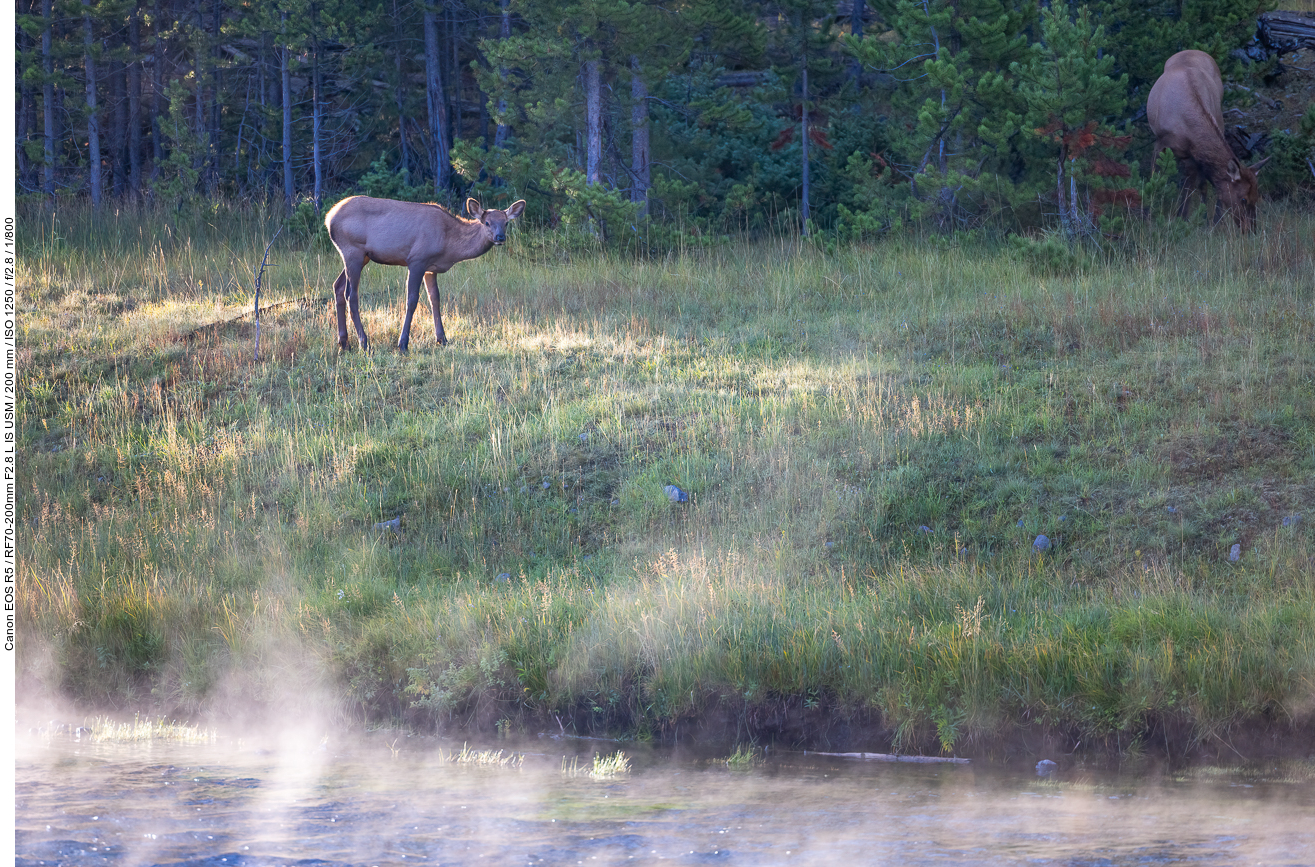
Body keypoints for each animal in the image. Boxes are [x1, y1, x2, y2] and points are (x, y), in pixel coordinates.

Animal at [322, 194, 523, 349]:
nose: (500, 237)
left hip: (361, 256)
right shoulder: (417, 260)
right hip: (353, 250)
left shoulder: (430, 268)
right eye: (487, 222)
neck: (448, 244)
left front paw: (442, 338)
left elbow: (435, 298)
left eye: (506, 223)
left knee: (338, 286)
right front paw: (403, 343)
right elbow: (411, 300)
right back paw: (363, 342)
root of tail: (328, 218)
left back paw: (344, 342)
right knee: (351, 294)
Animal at [1146, 50, 1267, 230]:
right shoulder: (1161, 143)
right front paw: (1148, 215)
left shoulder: (1192, 154)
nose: (1251, 229)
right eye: (1243, 199)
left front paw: (1202, 220)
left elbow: (1196, 185)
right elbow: (1155, 179)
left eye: (1256, 196)